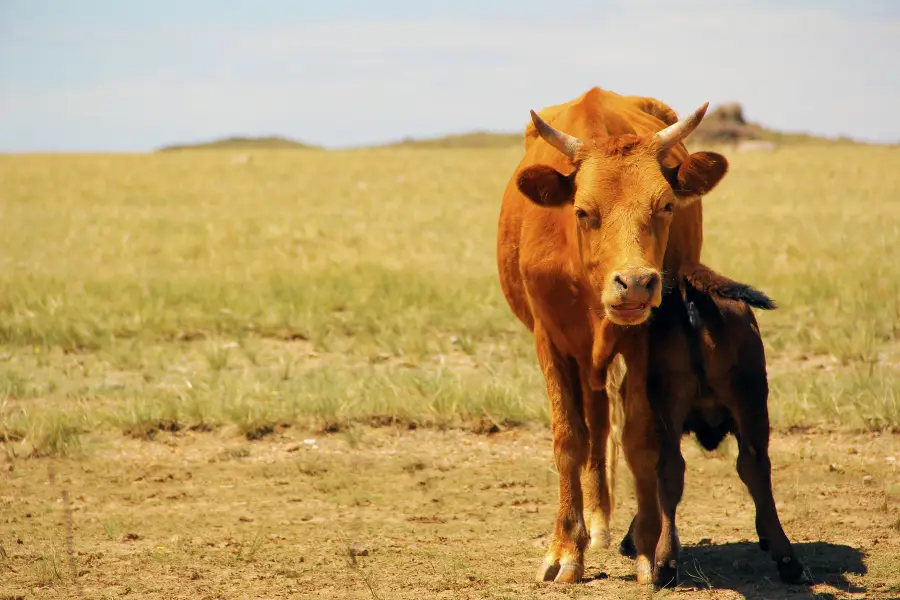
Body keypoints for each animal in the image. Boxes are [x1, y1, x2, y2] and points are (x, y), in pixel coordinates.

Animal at [496, 86, 728, 584]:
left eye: (665, 206)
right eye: (583, 211)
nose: (636, 283)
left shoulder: (644, 341)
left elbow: (640, 435)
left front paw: (647, 546)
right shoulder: (550, 341)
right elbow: (568, 438)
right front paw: (566, 550)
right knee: (594, 423)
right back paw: (596, 523)